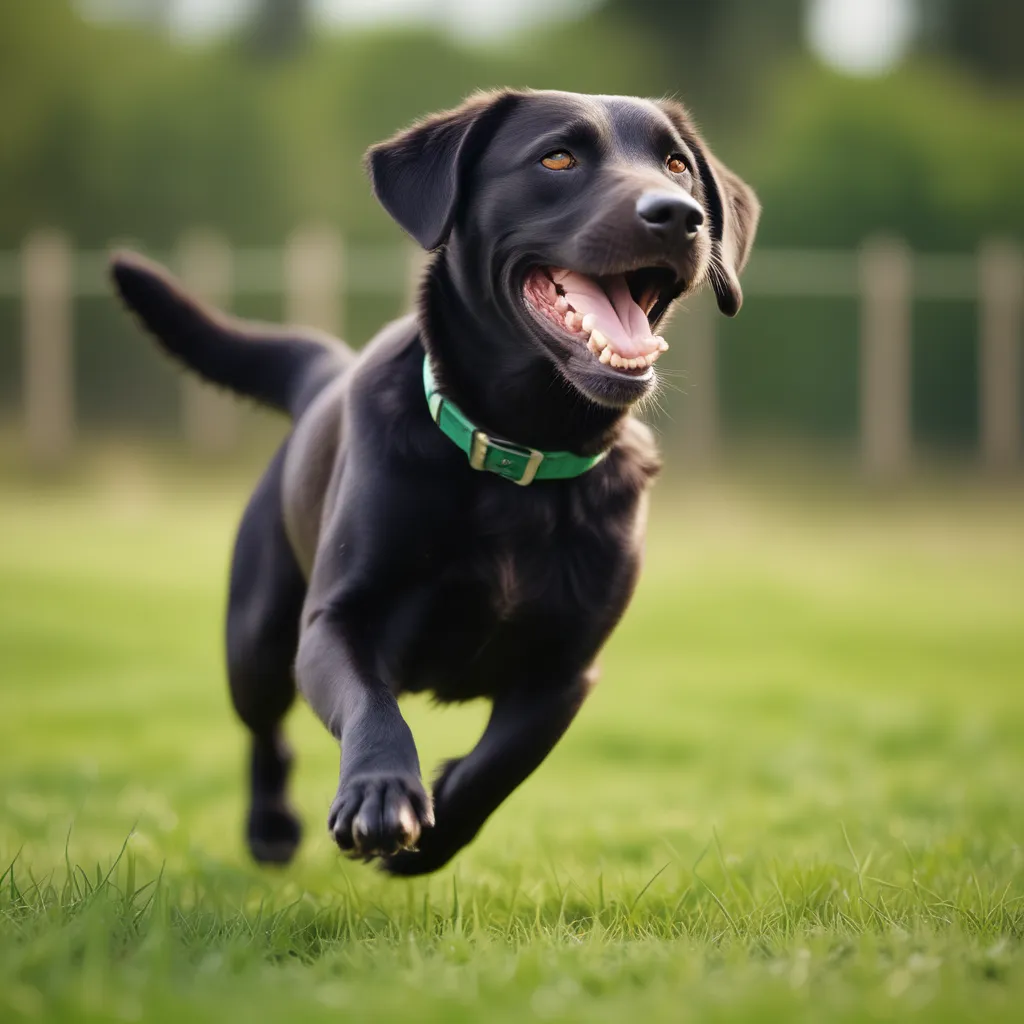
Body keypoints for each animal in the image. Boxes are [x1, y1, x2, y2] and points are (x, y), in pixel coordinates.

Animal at [110, 90, 761, 872]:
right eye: (557, 158)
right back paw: (270, 827)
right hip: (257, 639)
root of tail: (326, 370)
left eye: (677, 165)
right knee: (267, 731)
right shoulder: (335, 621)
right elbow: (373, 706)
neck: (520, 452)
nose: (678, 214)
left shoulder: (566, 667)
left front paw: (433, 835)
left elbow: (502, 762)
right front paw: (381, 792)